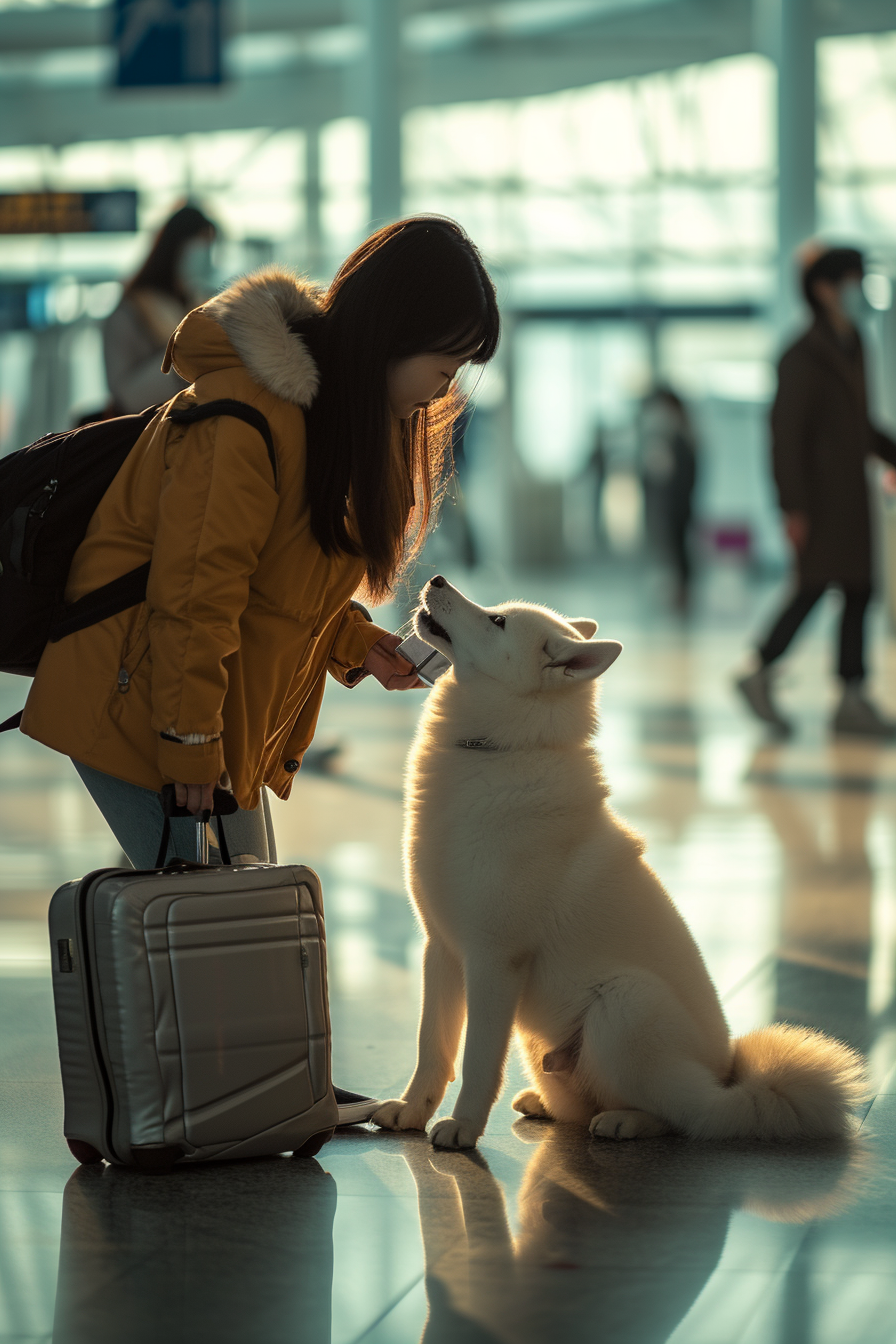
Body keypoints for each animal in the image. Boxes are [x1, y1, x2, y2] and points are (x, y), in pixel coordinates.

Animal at [368, 572, 865, 1150]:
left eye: (497, 620)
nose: (437, 579)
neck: (497, 749)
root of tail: (727, 1083)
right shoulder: (442, 950)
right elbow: (433, 1047)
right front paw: (411, 1111)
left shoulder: (494, 960)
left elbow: (477, 1061)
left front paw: (464, 1127)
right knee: (590, 1104)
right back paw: (549, 1104)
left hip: (625, 1004)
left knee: (687, 1116)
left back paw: (628, 1121)